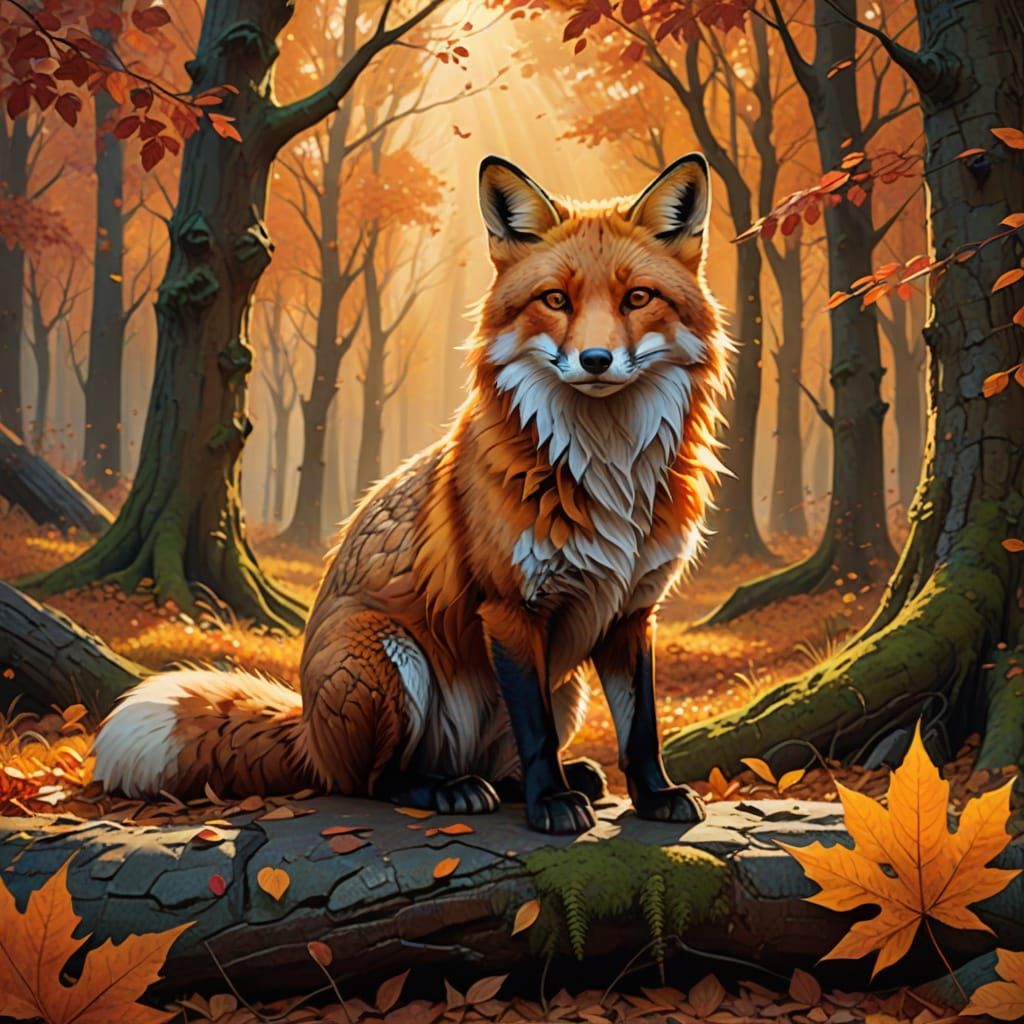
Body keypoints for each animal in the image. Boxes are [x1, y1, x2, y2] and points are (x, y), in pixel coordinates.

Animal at [94, 153, 732, 834]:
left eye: (637, 298)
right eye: (555, 300)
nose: (595, 359)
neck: (607, 473)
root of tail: (311, 732)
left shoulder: (633, 610)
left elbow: (641, 726)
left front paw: (655, 795)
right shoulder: (509, 607)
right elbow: (534, 730)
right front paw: (552, 806)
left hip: (565, 688)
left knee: (494, 762)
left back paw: (543, 778)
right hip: (385, 656)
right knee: (373, 781)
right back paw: (452, 789)